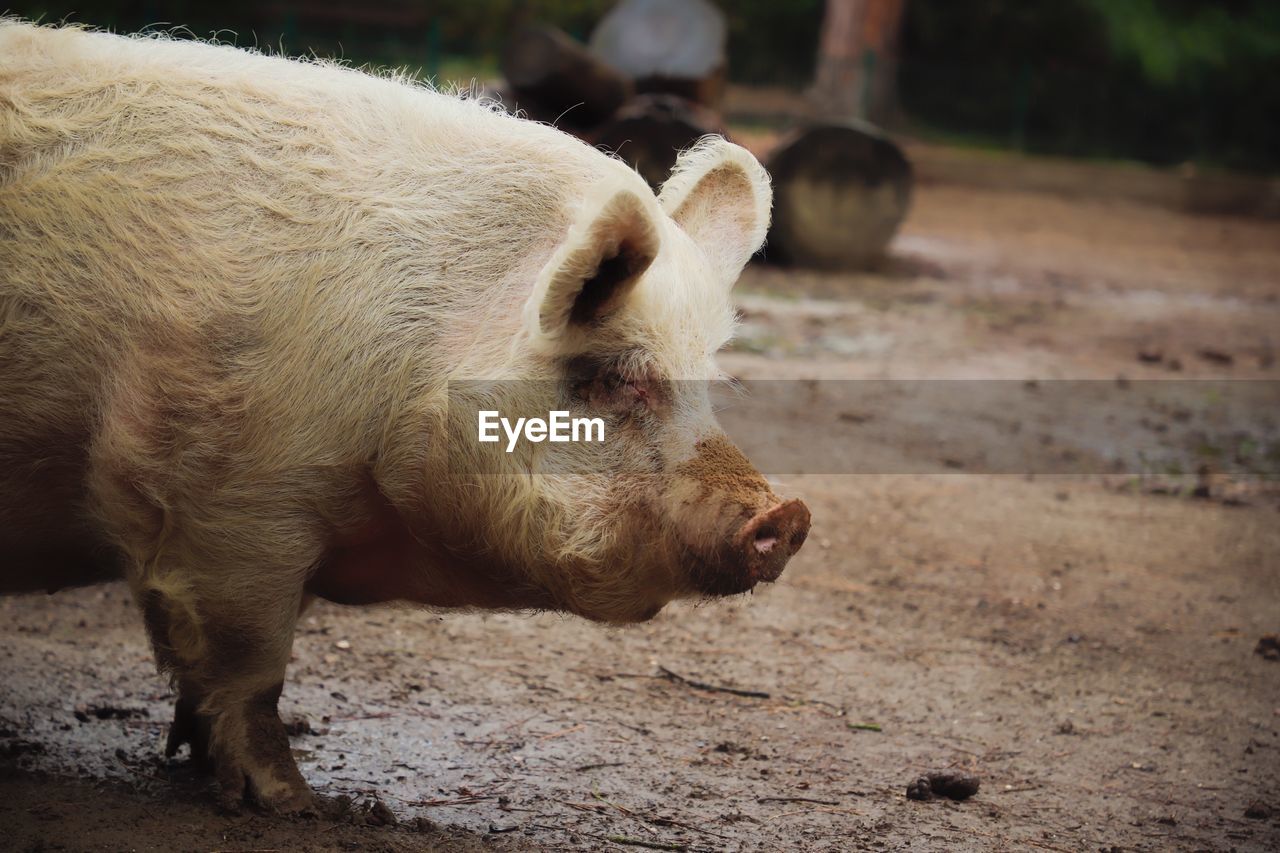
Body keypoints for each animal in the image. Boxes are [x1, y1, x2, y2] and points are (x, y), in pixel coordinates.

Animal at [0, 21, 808, 809]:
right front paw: (298, 804)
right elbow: (252, 666)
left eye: (705, 380)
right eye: (614, 376)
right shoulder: (222, 504)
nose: (788, 513)